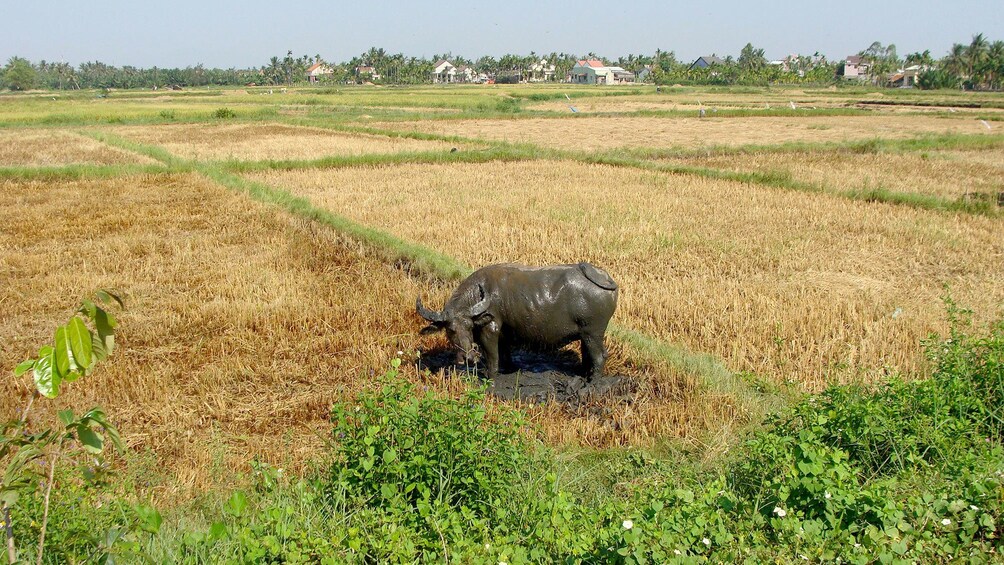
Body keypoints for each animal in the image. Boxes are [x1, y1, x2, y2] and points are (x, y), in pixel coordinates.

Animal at [415, 264, 618, 379]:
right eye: (450, 330)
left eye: (469, 326)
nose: (468, 358)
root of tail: (603, 277)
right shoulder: (504, 333)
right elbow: (505, 353)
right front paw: (509, 369)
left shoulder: (491, 329)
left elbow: (493, 357)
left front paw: (491, 376)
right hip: (586, 335)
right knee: (588, 356)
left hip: (593, 333)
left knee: (599, 357)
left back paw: (592, 383)